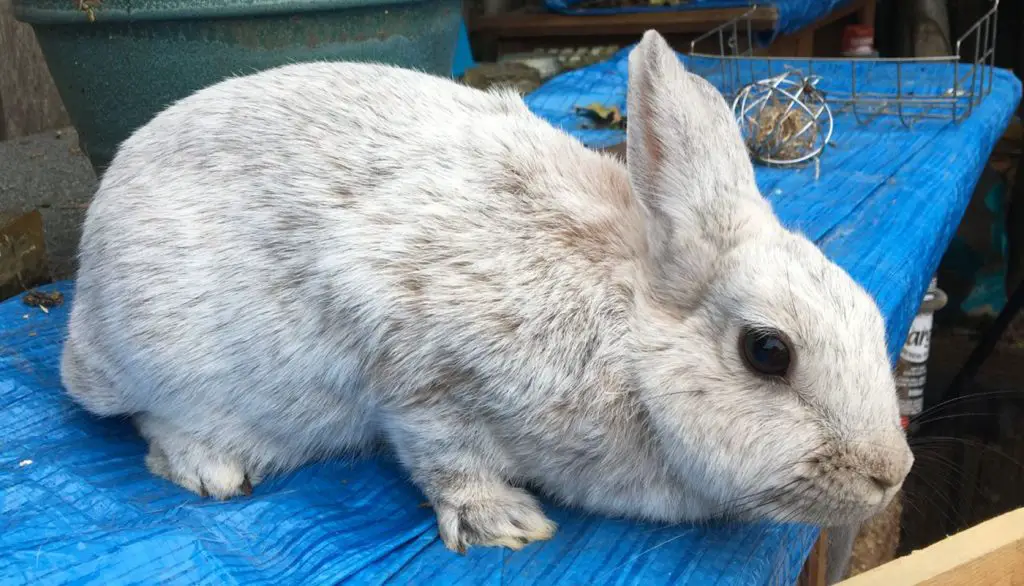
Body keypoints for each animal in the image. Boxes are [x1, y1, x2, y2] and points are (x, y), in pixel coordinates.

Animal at [61, 30, 913, 553]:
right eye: (767, 351)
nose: (891, 473)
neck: (628, 331)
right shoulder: (416, 371)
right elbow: (445, 458)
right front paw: (507, 521)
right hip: (164, 362)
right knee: (148, 423)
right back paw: (216, 467)